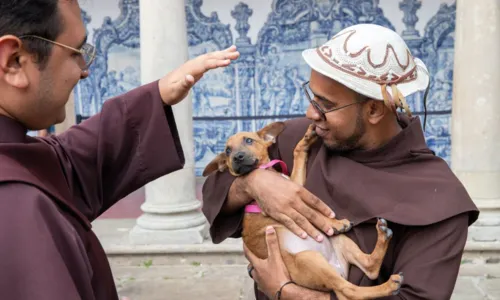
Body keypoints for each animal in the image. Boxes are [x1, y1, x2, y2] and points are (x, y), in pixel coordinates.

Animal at [203, 121, 402, 298]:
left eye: (249, 140)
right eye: (227, 151)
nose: (237, 157)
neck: (265, 170)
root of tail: (337, 269)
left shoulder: (296, 185)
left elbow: (298, 154)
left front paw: (306, 139)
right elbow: (320, 215)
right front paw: (335, 222)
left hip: (340, 241)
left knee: (369, 269)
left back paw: (383, 236)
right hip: (309, 259)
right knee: (349, 291)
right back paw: (389, 285)